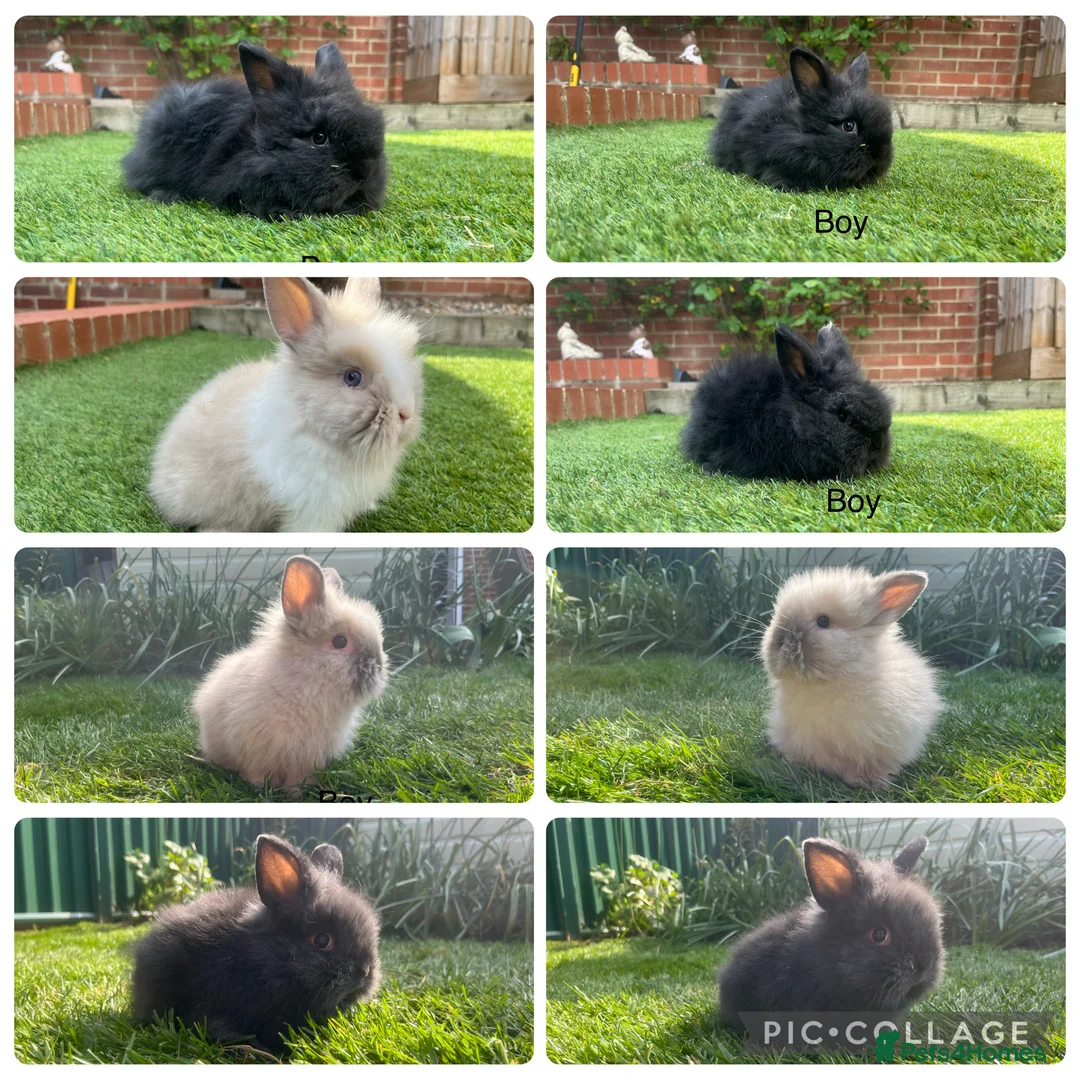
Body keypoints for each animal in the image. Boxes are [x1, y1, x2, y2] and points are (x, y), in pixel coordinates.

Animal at [195, 555, 388, 791]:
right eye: (340, 642)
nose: (378, 667)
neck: (309, 685)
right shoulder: (260, 751)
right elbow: (259, 772)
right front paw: (260, 788)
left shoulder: (306, 758)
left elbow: (299, 779)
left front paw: (298, 793)